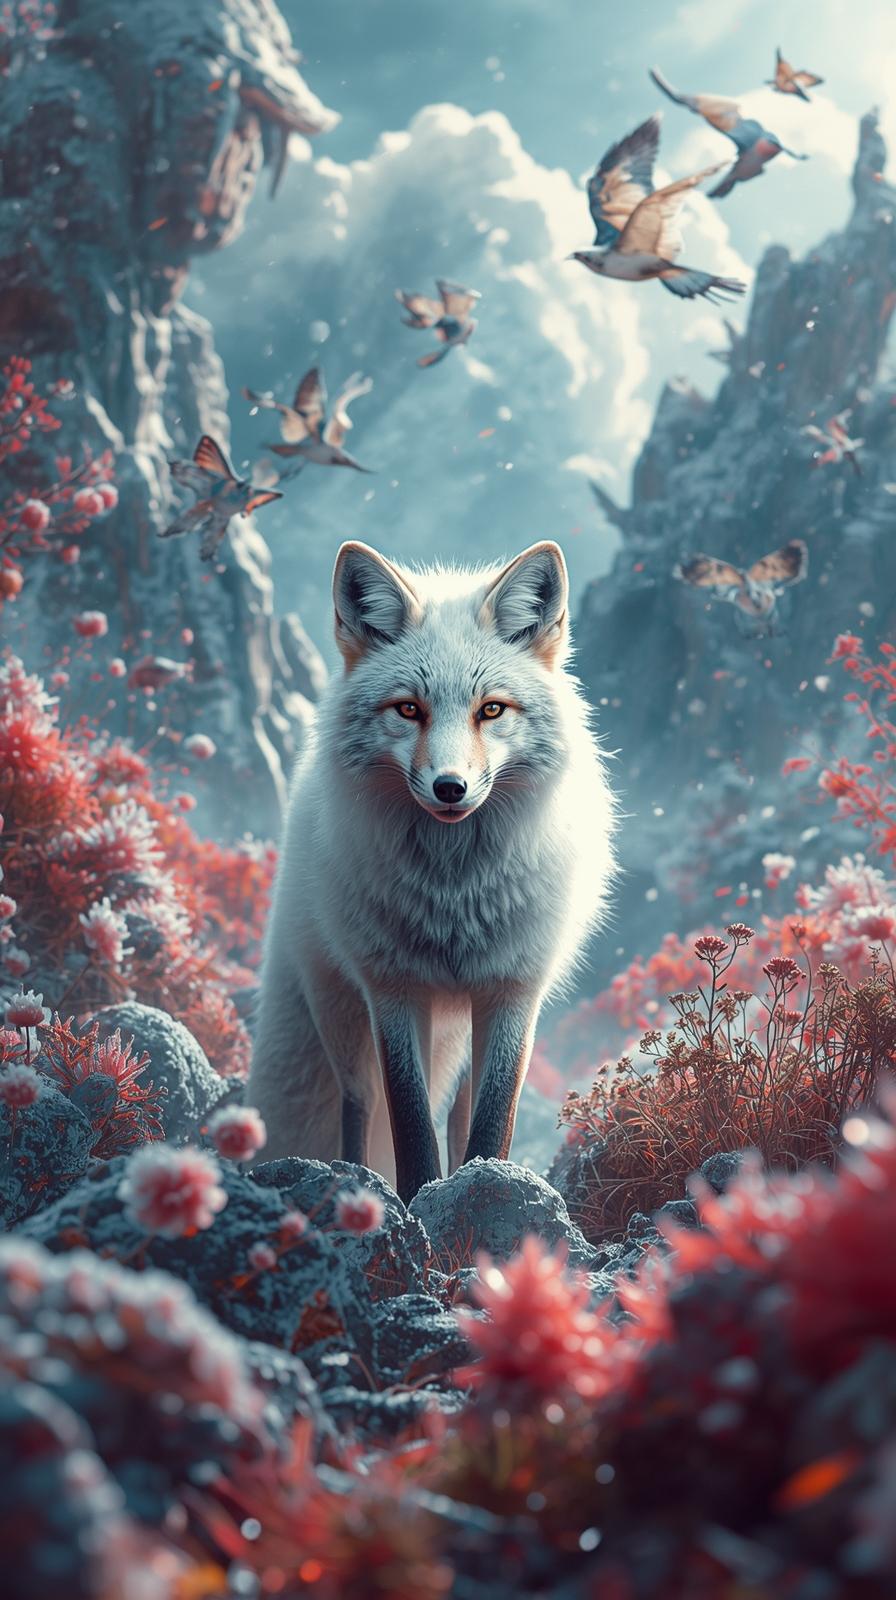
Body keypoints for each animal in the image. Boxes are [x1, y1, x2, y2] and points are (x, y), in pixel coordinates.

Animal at [247, 538, 617, 1203]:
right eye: (408, 709)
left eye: (490, 709)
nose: (450, 788)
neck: (455, 896)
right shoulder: (393, 988)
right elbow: (411, 1123)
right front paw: (419, 1198)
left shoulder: (513, 989)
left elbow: (492, 1120)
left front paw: (483, 1185)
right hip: (342, 1015)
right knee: (359, 1105)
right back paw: (355, 1177)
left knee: (460, 1113)